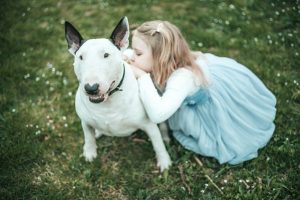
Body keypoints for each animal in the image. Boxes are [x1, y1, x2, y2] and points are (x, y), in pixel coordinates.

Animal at [65, 16, 171, 171]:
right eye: (81, 57)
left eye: (106, 55)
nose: (91, 88)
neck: (108, 103)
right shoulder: (85, 121)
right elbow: (88, 137)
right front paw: (89, 153)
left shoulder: (149, 125)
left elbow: (158, 144)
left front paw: (165, 162)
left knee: (162, 124)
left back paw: (166, 137)